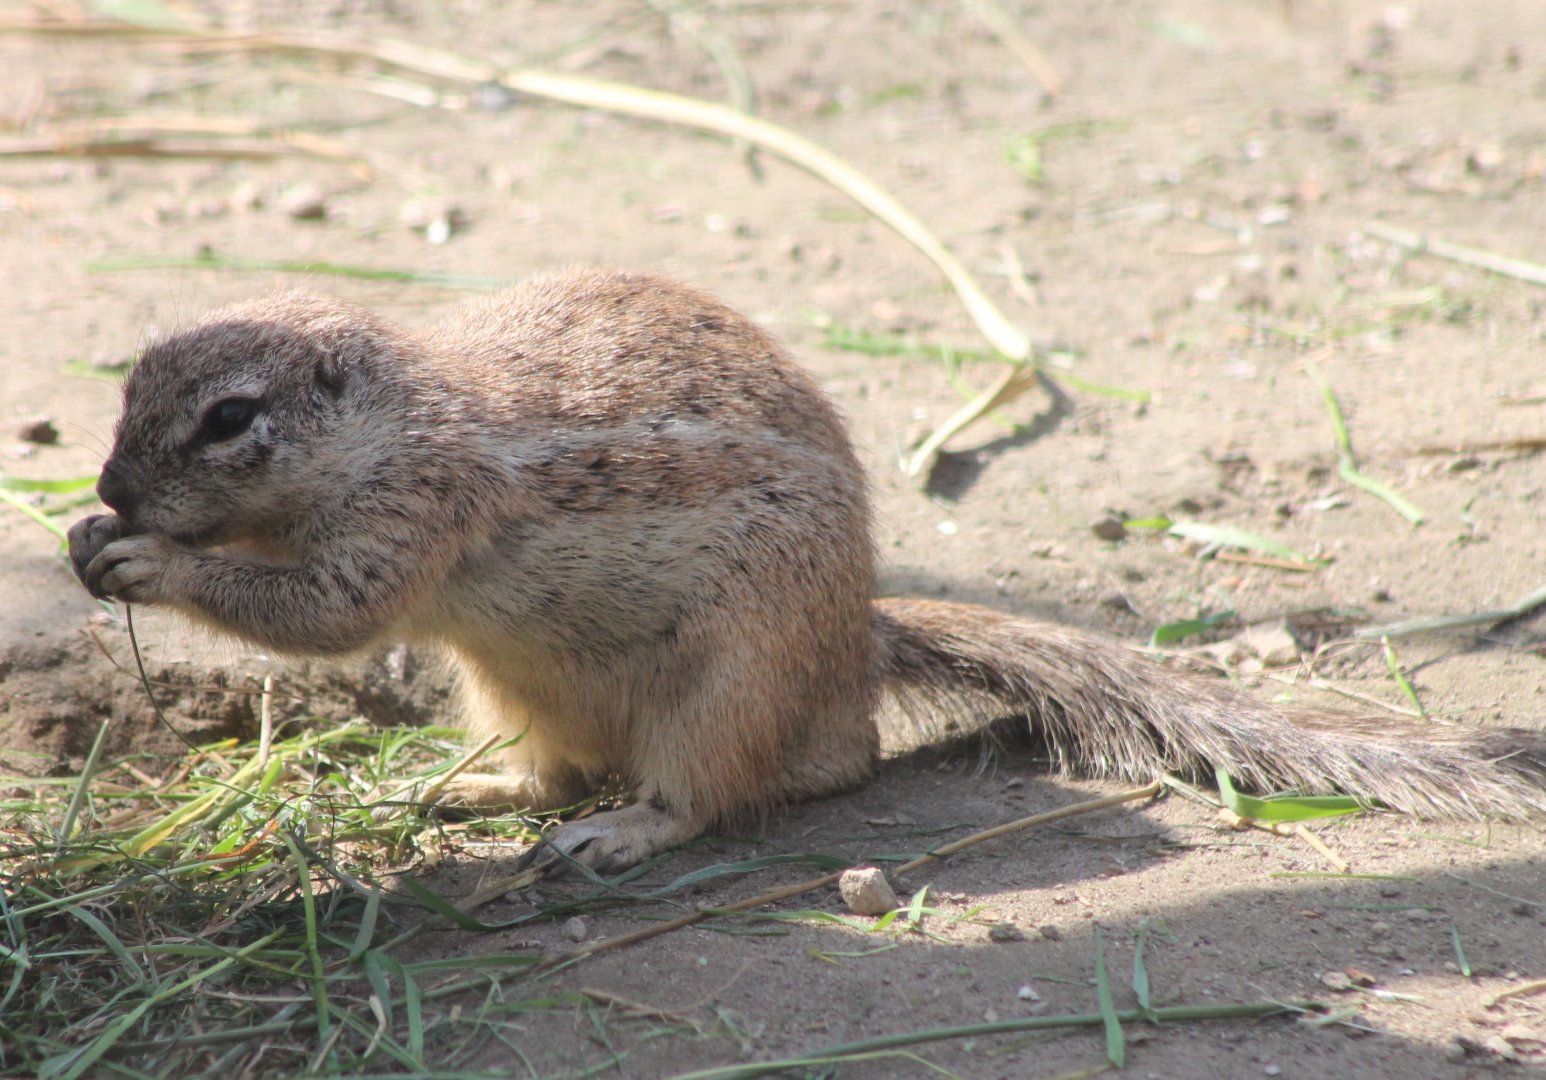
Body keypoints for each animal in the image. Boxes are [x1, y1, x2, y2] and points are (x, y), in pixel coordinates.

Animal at [67, 267, 1546, 873]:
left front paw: (143, 558)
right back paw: (461, 788)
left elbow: (325, 609)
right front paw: (90, 541)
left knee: (719, 790)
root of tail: (857, 649)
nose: (108, 491)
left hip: (735, 680)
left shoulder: (414, 513)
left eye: (228, 418)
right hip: (507, 683)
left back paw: (619, 833)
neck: (397, 418)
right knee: (553, 766)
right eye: (128, 387)